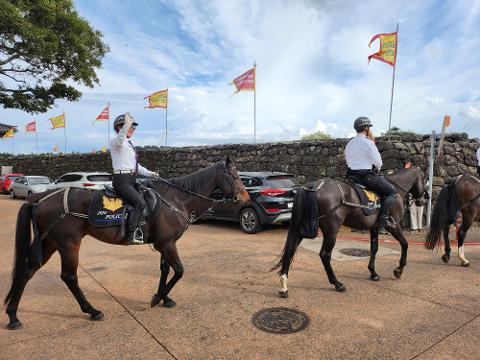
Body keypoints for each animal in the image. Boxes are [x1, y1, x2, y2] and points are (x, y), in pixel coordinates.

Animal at [5, 158, 249, 330]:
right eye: (235, 176)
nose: (246, 198)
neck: (175, 199)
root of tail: (42, 198)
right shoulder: (168, 244)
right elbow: (179, 271)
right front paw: (157, 298)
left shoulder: (165, 243)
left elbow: (165, 269)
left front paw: (164, 297)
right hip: (68, 244)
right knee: (69, 277)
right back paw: (92, 311)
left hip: (49, 243)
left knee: (27, 271)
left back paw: (13, 315)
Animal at [272, 167, 426, 296]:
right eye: (424, 180)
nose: (422, 201)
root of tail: (313, 186)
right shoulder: (393, 226)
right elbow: (405, 244)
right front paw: (399, 269)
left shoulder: (374, 228)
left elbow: (374, 249)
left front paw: (373, 273)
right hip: (331, 230)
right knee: (325, 255)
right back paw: (337, 283)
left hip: (300, 227)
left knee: (290, 249)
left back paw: (284, 284)